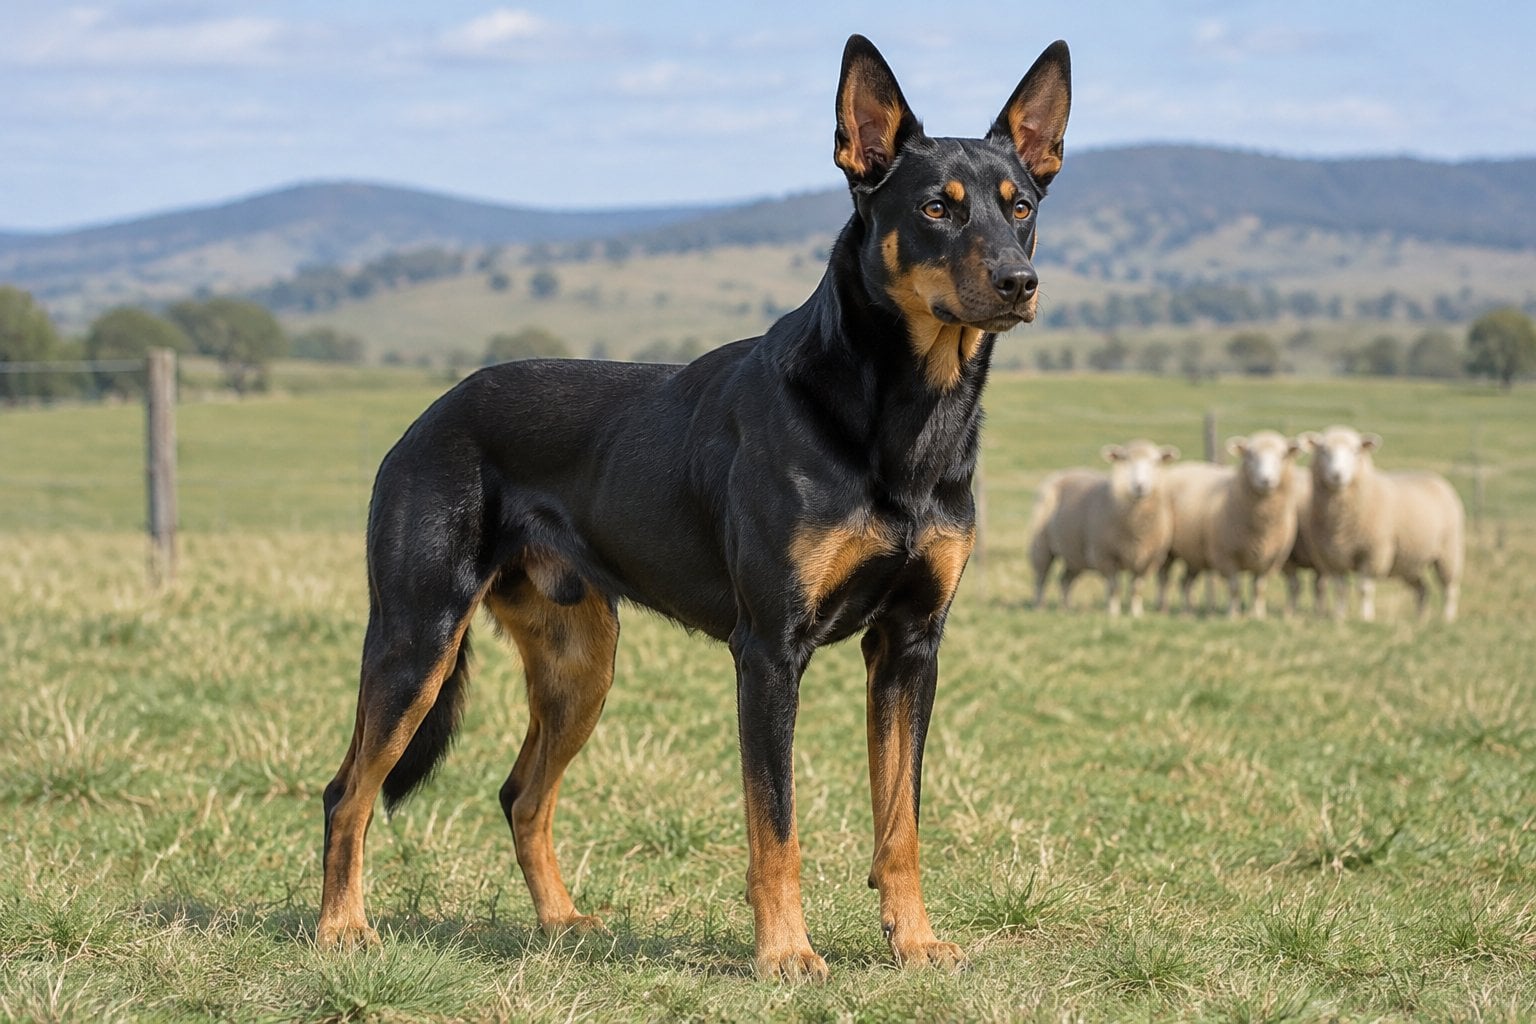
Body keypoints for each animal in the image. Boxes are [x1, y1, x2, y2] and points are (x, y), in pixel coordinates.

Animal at [1029, 440, 1180, 617]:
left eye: (1155, 461)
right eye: (1124, 459)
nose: (1139, 486)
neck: (1135, 529)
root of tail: (1065, 472)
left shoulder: (1149, 560)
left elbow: (1136, 588)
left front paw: (1136, 614)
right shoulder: (1105, 556)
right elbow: (1114, 587)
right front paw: (1113, 613)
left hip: (1074, 554)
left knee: (1065, 580)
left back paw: (1067, 608)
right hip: (1041, 545)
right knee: (1041, 577)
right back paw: (1040, 607)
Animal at [1154, 460, 1231, 614]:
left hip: (1192, 559)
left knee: (1183, 581)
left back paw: (1189, 610)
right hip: (1170, 554)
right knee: (1165, 577)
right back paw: (1166, 608)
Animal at [1205, 431, 1304, 619]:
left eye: (1282, 455)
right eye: (1250, 454)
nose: (1266, 480)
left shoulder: (1268, 560)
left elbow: (1259, 588)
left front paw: (1257, 615)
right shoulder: (1227, 556)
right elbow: (1235, 588)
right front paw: (1233, 615)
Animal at [1300, 426, 1465, 622]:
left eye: (1355, 451)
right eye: (1323, 451)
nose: (1337, 475)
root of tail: (1434, 477)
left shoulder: (1372, 552)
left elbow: (1364, 588)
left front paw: (1366, 617)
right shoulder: (1332, 557)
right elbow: (1340, 589)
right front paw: (1339, 617)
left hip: (1449, 550)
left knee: (1450, 587)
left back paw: (1447, 618)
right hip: (1410, 560)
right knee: (1423, 589)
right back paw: (1420, 619)